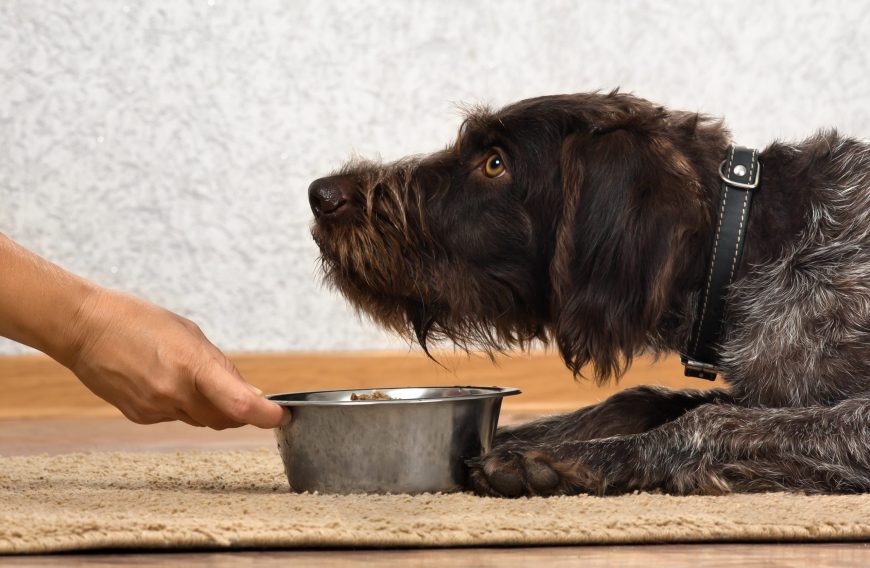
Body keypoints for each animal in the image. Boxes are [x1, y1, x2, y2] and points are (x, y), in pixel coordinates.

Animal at [306, 91, 870, 494]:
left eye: (495, 163)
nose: (320, 194)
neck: (744, 244)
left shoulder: (849, 421)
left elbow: (711, 420)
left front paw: (567, 458)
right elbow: (641, 398)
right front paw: (514, 436)